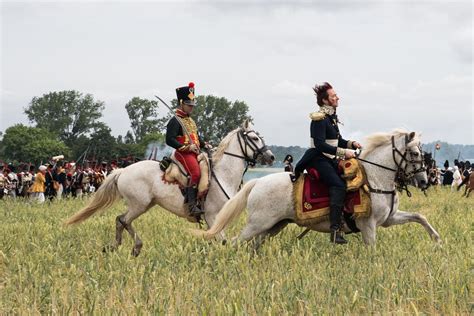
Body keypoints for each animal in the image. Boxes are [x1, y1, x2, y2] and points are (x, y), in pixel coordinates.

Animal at [65, 121, 274, 256]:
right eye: (254, 138)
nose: (271, 157)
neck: (223, 174)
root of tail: (123, 171)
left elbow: (216, 239)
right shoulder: (212, 216)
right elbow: (221, 240)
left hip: (145, 204)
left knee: (121, 221)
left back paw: (118, 247)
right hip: (139, 205)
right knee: (122, 220)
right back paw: (132, 247)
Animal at [192, 130, 440, 248]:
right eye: (414, 153)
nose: (424, 181)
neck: (375, 177)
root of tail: (257, 183)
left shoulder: (389, 219)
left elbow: (420, 216)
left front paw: (436, 239)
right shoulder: (368, 225)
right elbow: (372, 249)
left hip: (271, 227)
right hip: (257, 225)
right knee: (233, 242)